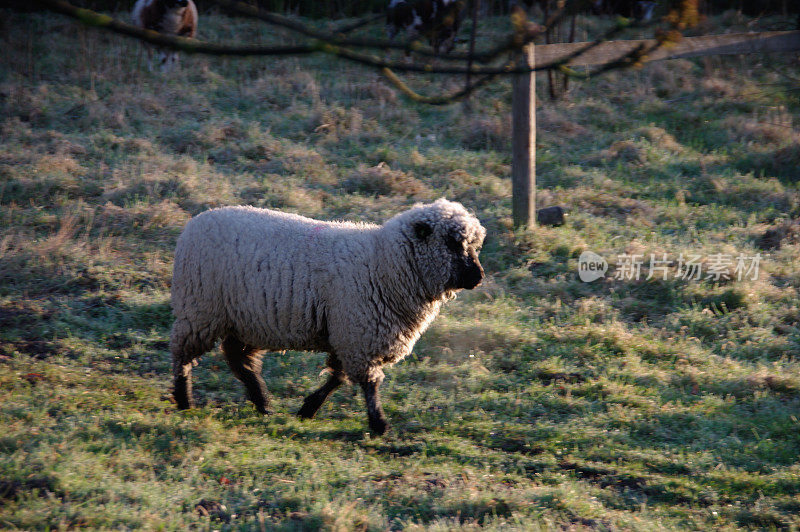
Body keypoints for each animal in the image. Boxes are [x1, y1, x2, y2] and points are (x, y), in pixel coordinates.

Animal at [170, 200, 488, 436]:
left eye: (473, 245)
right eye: (452, 242)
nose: (478, 277)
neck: (385, 263)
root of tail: (195, 222)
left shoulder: (349, 336)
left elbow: (338, 378)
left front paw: (308, 409)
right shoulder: (358, 333)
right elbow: (368, 383)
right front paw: (379, 424)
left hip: (242, 319)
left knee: (238, 359)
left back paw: (262, 403)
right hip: (199, 310)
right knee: (183, 355)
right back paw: (185, 401)